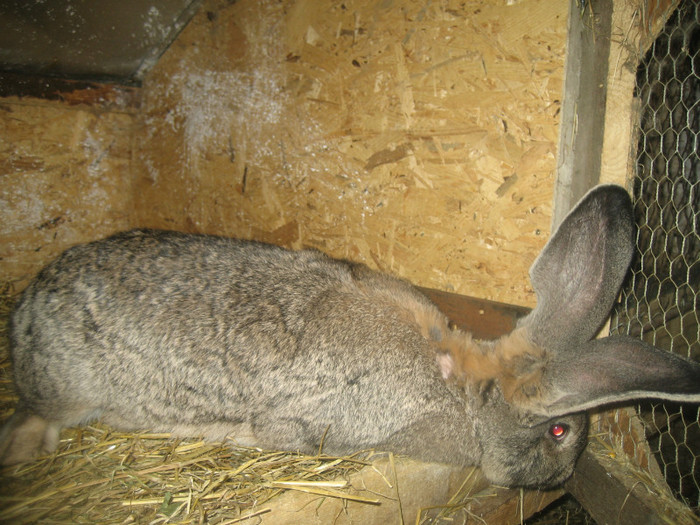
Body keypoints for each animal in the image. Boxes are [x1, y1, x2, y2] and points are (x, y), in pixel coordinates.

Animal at [1, 184, 700, 488]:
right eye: (559, 433)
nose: (557, 484)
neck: (465, 393)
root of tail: (26, 307)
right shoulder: (319, 420)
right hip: (66, 385)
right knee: (34, 416)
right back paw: (25, 452)